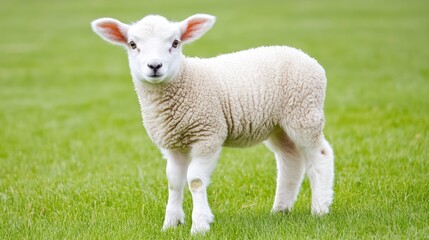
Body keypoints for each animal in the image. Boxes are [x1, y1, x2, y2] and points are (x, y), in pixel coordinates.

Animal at [91, 13, 334, 234]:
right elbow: (174, 182)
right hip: (278, 125)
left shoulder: (208, 135)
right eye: (132, 44)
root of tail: (306, 57)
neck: (185, 80)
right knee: (290, 159)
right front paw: (170, 224)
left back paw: (320, 208)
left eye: (175, 43)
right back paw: (280, 209)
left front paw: (199, 225)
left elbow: (195, 180)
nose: (155, 66)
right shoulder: (173, 144)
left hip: (303, 113)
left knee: (320, 154)